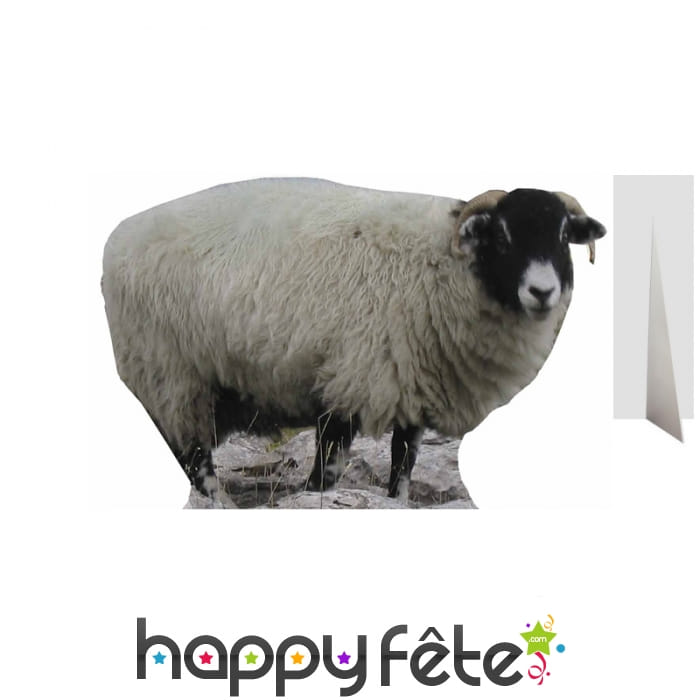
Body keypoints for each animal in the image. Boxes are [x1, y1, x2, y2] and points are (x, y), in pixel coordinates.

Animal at [102, 178, 606, 503]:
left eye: (564, 234)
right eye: (501, 235)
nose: (542, 291)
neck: (447, 265)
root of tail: (117, 237)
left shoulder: (412, 387)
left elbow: (403, 468)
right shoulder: (349, 379)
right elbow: (326, 474)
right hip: (168, 374)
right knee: (194, 461)